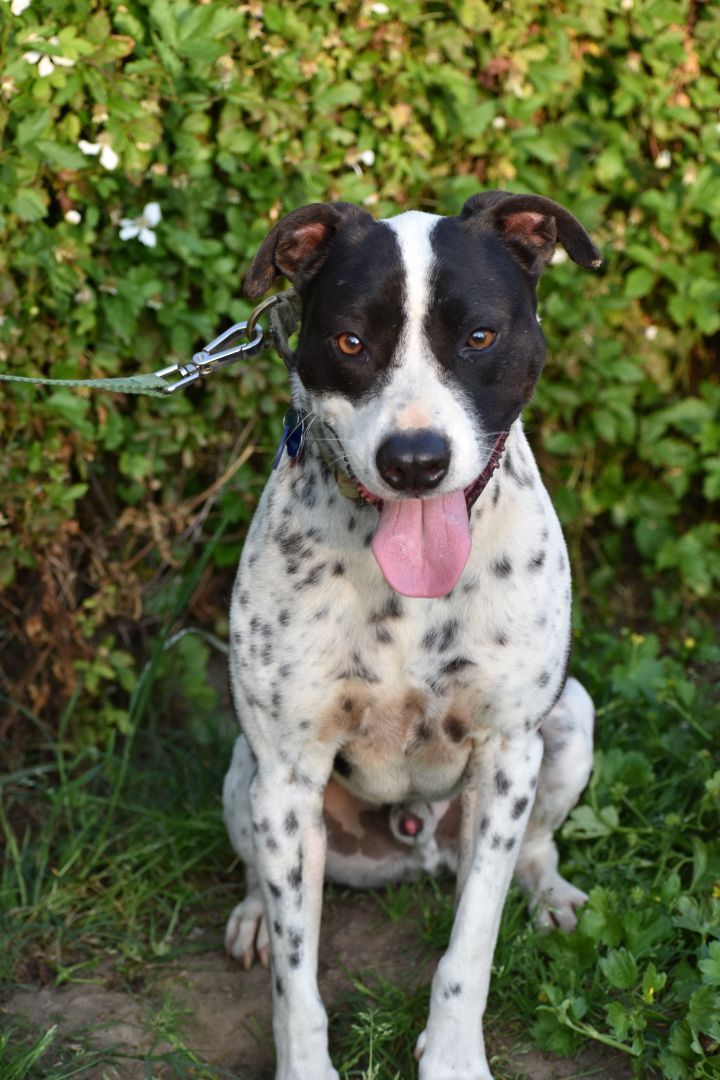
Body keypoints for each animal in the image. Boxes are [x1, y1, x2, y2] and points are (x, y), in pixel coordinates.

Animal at [222, 194, 600, 1080]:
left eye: (480, 337)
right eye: (350, 342)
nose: (416, 462)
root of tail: (415, 842)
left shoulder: (507, 758)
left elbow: (470, 949)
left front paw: (454, 1058)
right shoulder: (286, 776)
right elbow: (297, 985)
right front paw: (304, 1066)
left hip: (571, 723)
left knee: (535, 849)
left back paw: (553, 897)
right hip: (244, 777)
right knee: (263, 880)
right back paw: (253, 918)